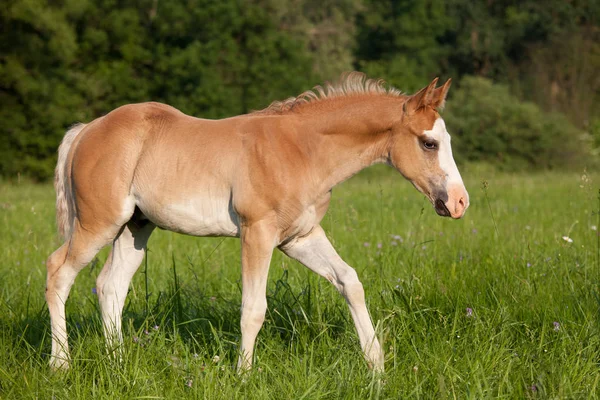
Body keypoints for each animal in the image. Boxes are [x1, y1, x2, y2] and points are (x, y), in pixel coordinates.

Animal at [45, 72, 468, 372]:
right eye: (428, 143)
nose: (459, 203)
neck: (301, 150)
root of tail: (86, 129)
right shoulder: (257, 233)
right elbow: (253, 308)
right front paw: (243, 375)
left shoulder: (300, 237)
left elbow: (350, 282)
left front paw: (376, 366)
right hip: (98, 224)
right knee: (58, 272)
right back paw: (60, 364)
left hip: (134, 227)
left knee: (110, 286)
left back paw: (117, 362)